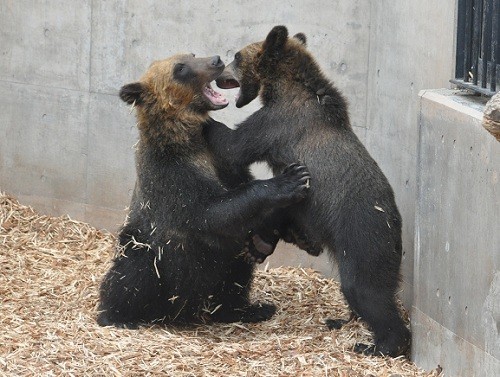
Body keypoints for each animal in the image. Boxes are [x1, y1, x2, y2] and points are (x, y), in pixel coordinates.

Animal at [95, 54, 310, 328]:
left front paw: (277, 233)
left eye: (192, 55)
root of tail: (182, 312)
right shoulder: (171, 174)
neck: (187, 137)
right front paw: (290, 179)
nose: (216, 60)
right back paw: (116, 316)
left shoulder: (223, 160)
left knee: (236, 276)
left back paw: (252, 309)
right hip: (151, 253)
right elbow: (209, 211)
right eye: (180, 68)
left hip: (224, 266)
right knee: (133, 270)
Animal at [203, 26, 410, 356]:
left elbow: (234, 146)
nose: (221, 73)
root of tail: (396, 225)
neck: (281, 87)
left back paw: (379, 344)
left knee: (366, 289)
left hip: (363, 234)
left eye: (237, 56)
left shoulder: (278, 123)